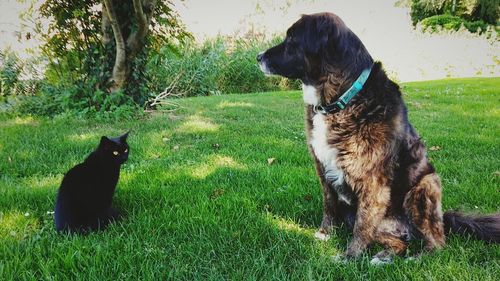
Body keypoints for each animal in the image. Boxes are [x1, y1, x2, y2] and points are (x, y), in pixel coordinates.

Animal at [258, 12, 500, 262]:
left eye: (291, 39)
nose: (258, 56)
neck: (341, 99)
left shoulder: (372, 180)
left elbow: (362, 225)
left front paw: (349, 257)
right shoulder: (323, 169)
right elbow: (329, 204)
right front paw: (325, 234)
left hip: (424, 187)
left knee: (438, 243)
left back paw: (416, 256)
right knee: (398, 242)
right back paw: (384, 256)